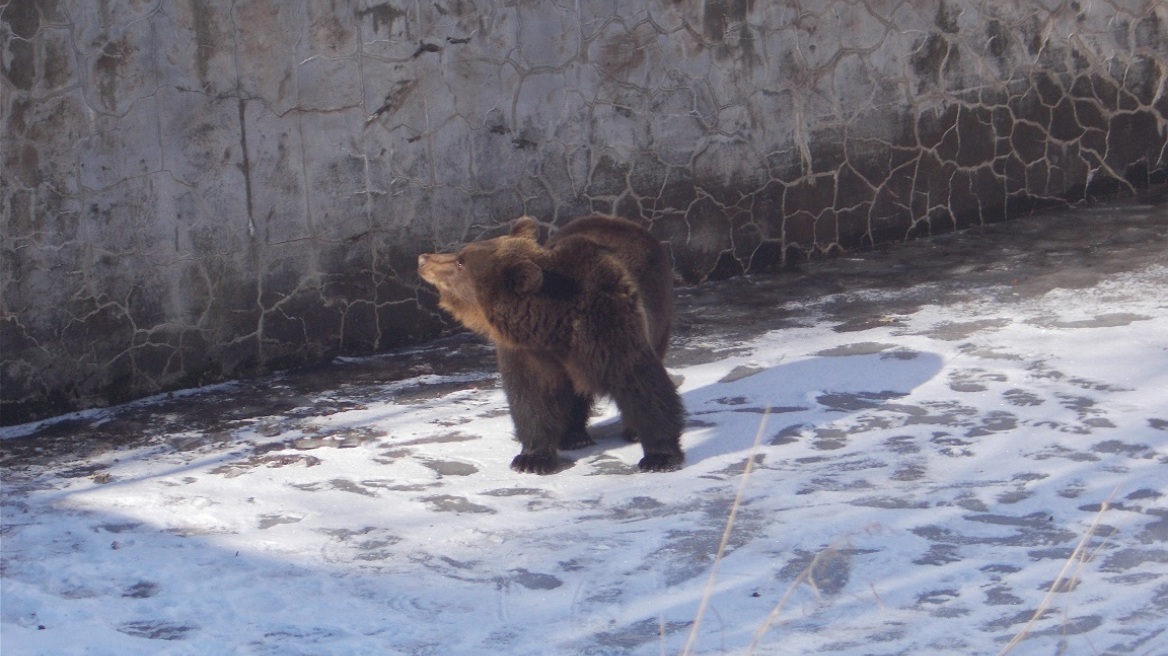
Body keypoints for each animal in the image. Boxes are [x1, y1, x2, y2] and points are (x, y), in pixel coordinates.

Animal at [418, 217, 682, 471]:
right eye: (461, 253)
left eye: (461, 262)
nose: (423, 258)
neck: (553, 326)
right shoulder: (528, 353)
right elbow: (532, 399)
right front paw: (532, 459)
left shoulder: (609, 328)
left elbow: (641, 383)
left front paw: (659, 456)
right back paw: (573, 436)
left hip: (659, 309)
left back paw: (627, 432)